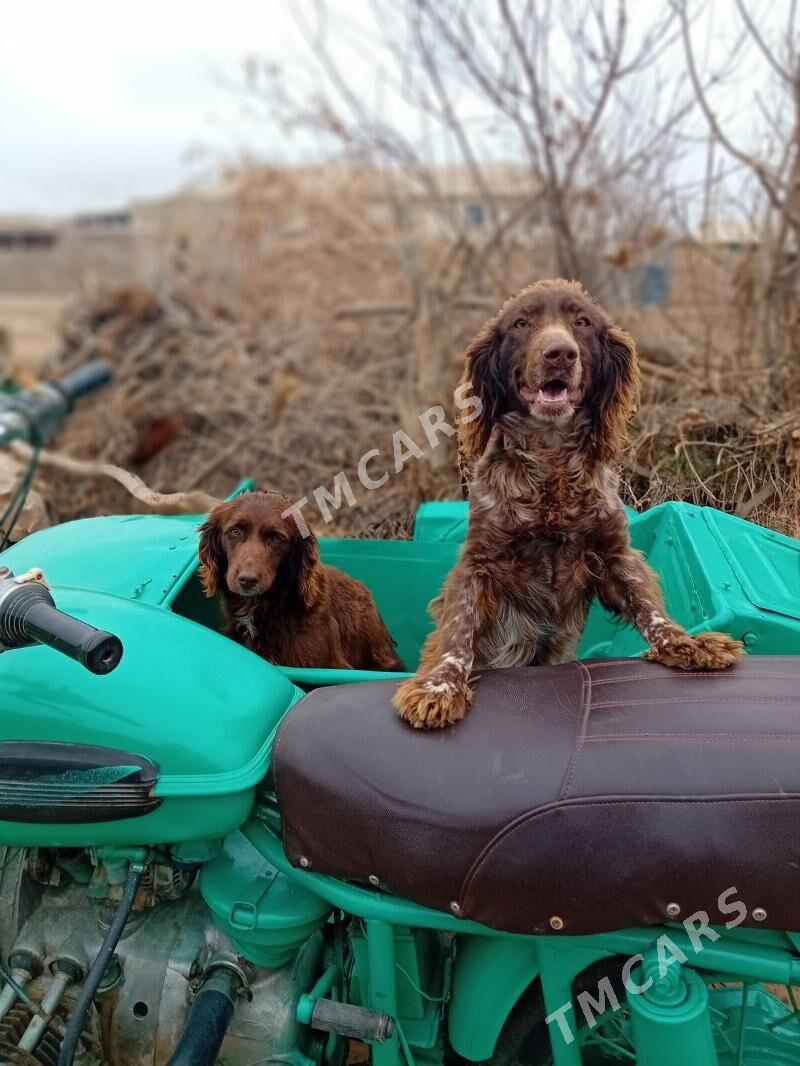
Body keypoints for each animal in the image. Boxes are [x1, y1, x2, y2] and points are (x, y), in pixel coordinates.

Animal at [394, 275, 746, 729]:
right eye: (521, 323)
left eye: (582, 322)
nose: (559, 353)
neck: (551, 461)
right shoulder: (479, 563)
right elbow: (459, 628)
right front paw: (439, 687)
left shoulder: (614, 554)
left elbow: (648, 607)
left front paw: (685, 643)